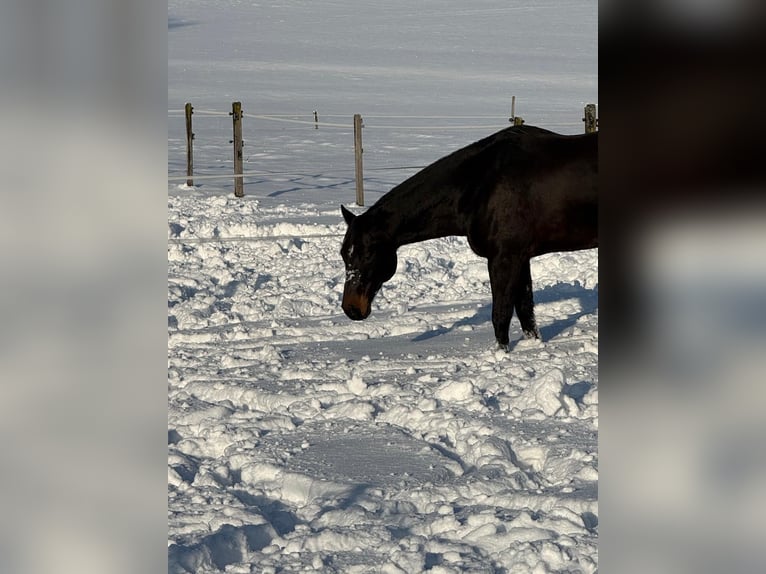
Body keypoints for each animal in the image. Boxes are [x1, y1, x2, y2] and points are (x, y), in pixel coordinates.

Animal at [340, 124, 597, 350]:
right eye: (344, 254)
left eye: (369, 252)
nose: (351, 309)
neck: (480, 184)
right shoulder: (521, 258)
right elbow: (525, 311)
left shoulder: (504, 258)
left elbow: (501, 314)